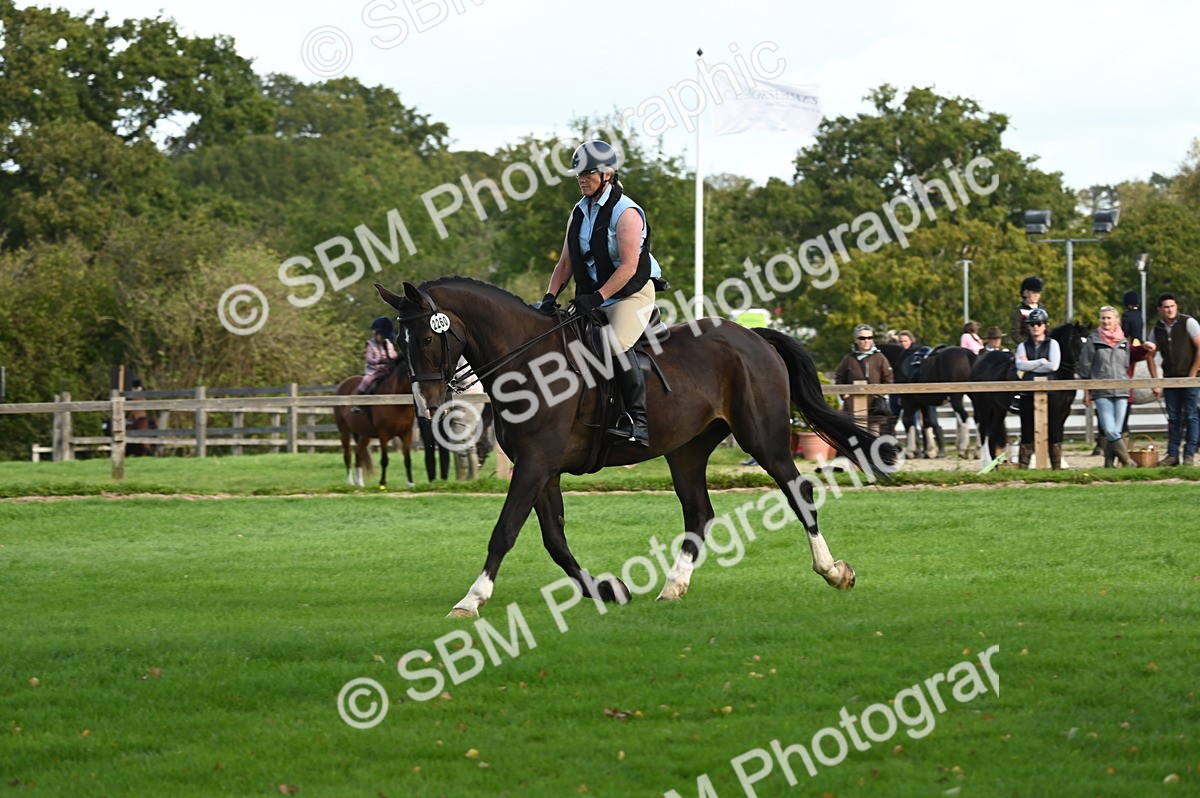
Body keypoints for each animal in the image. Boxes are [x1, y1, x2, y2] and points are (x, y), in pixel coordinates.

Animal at [376, 277, 899, 618]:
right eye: (401, 340)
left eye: (427, 338)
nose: (427, 405)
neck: (528, 362)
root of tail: (752, 335)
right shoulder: (542, 468)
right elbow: (554, 540)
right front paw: (606, 589)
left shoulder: (535, 463)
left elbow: (504, 531)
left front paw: (472, 598)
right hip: (686, 450)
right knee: (699, 513)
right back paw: (672, 587)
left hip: (763, 438)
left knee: (798, 493)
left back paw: (833, 571)